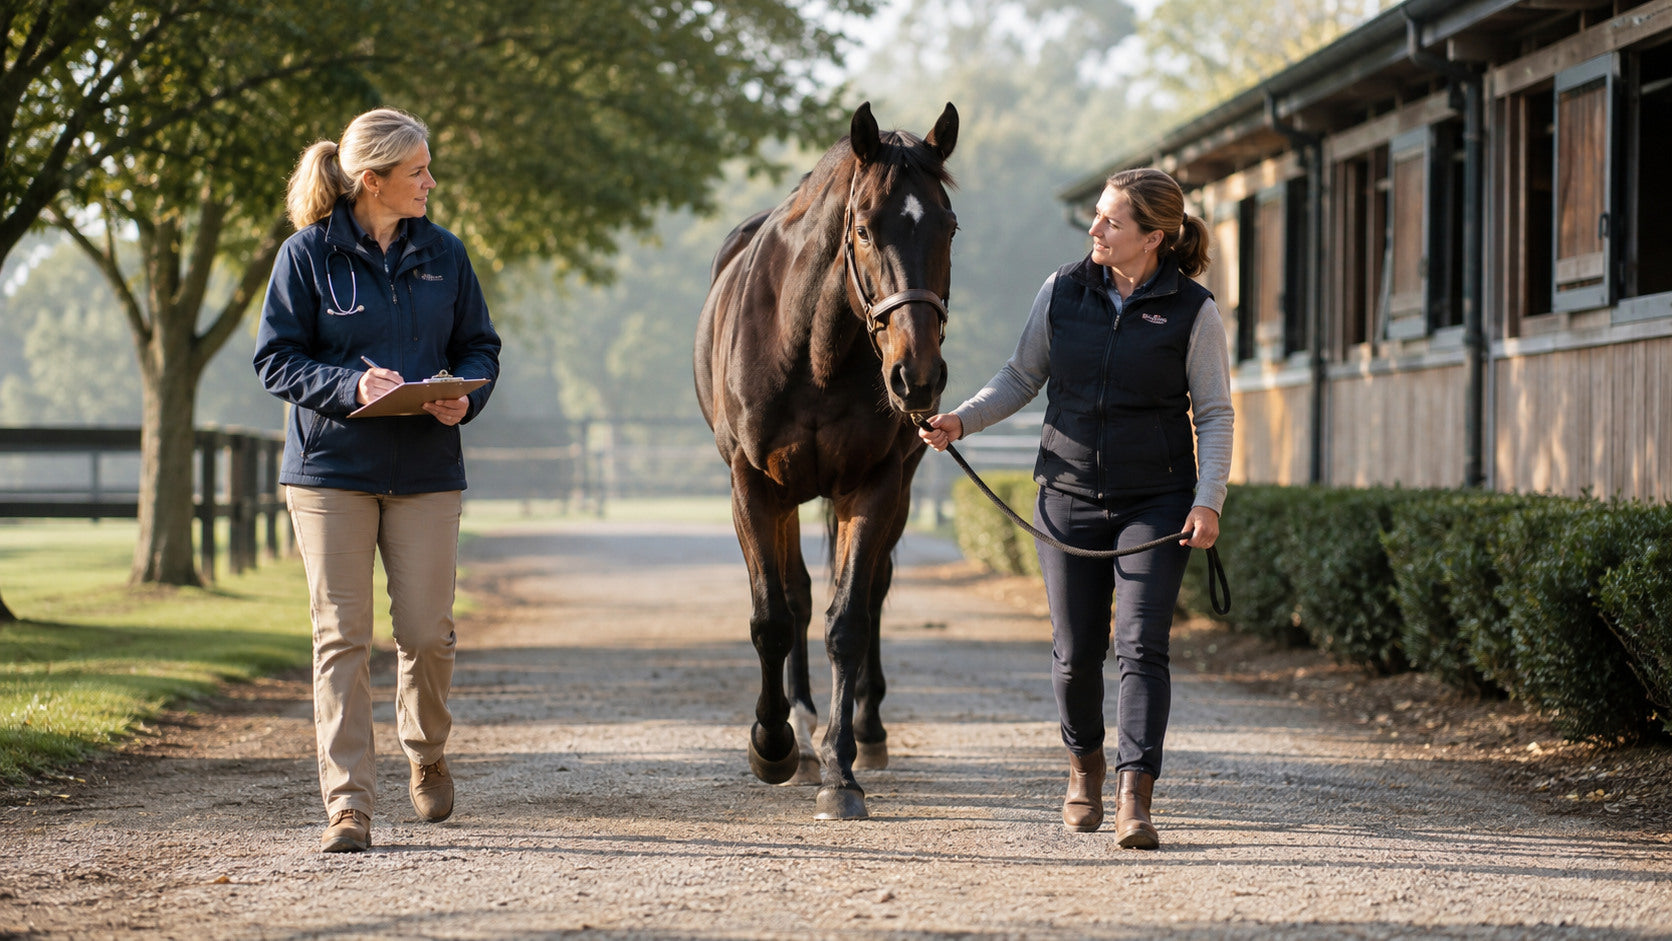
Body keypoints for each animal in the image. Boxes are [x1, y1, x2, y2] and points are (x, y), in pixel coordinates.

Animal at [694, 101, 958, 820]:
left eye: (949, 227)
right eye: (863, 229)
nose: (917, 379)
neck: (812, 347)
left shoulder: (872, 485)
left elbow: (849, 621)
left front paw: (841, 772)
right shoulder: (754, 486)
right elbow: (773, 618)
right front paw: (773, 742)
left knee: (870, 592)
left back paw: (863, 730)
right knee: (798, 598)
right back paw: (803, 722)